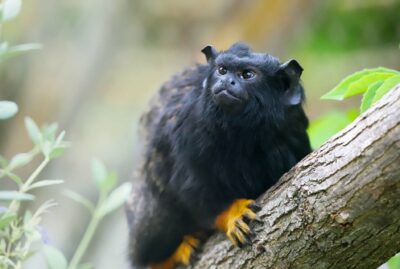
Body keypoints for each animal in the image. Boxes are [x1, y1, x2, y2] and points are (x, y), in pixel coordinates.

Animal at [126, 43, 312, 266]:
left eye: (247, 75)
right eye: (222, 70)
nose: (226, 81)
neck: (242, 131)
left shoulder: (293, 129)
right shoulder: (188, 130)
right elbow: (193, 189)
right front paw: (232, 213)